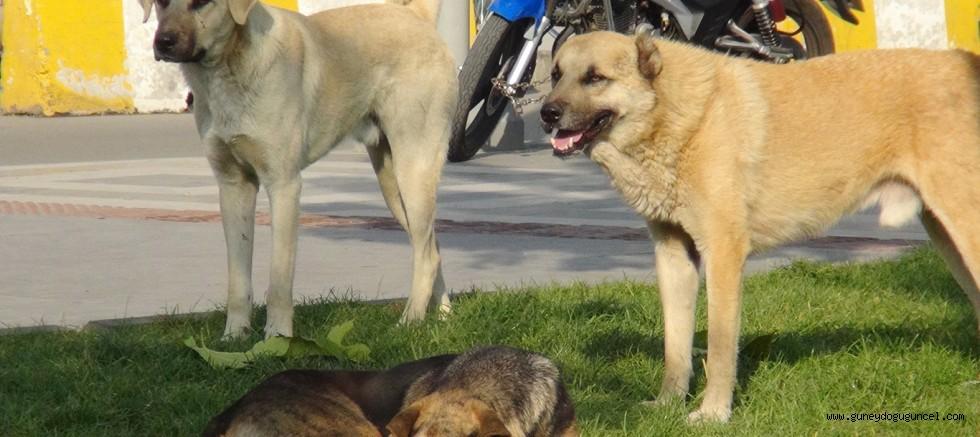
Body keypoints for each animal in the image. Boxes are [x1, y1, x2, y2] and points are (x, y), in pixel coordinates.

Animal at [139, 0, 456, 338]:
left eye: (201, 3)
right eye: (161, 3)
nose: (163, 42)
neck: (230, 67)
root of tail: (415, 14)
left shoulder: (284, 185)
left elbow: (279, 280)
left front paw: (277, 337)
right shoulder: (234, 186)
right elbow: (238, 278)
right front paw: (234, 335)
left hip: (413, 169)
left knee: (427, 255)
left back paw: (410, 322)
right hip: (392, 184)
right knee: (432, 246)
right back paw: (442, 316)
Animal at [540, 28, 980, 422]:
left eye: (595, 77)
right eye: (556, 74)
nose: (546, 114)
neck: (676, 113)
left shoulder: (723, 254)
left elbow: (720, 348)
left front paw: (713, 413)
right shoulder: (674, 256)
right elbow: (675, 345)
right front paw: (668, 404)